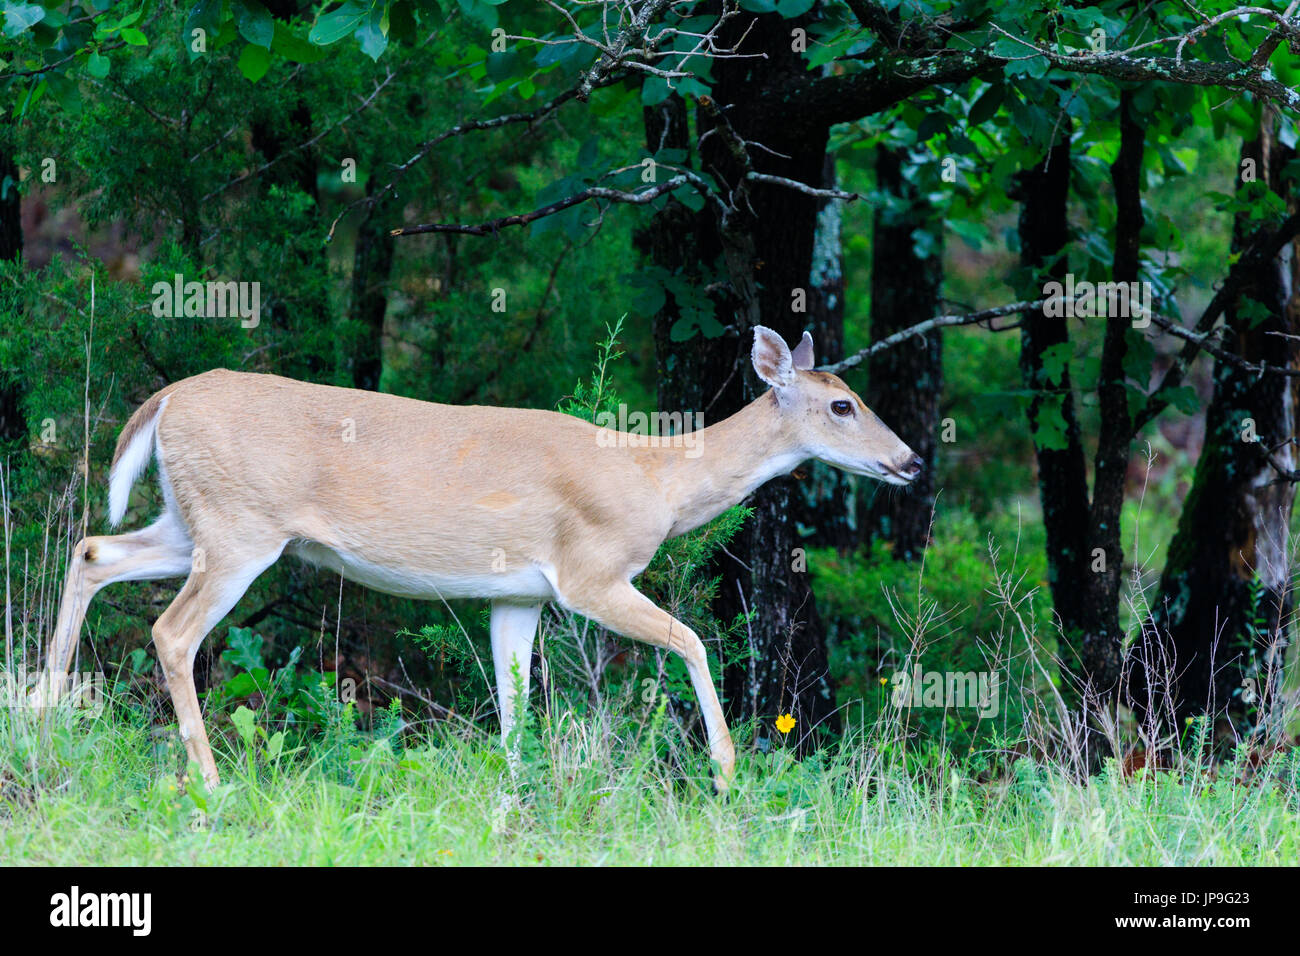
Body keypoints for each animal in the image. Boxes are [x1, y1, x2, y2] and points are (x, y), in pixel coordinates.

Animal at [32, 325, 925, 790]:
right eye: (842, 404)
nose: (912, 461)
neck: (656, 478)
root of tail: (164, 399)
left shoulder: (518, 593)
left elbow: (514, 700)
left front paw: (517, 788)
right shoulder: (592, 573)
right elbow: (696, 641)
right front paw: (726, 769)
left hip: (192, 520)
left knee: (92, 549)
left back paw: (39, 710)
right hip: (241, 526)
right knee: (173, 631)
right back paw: (210, 779)